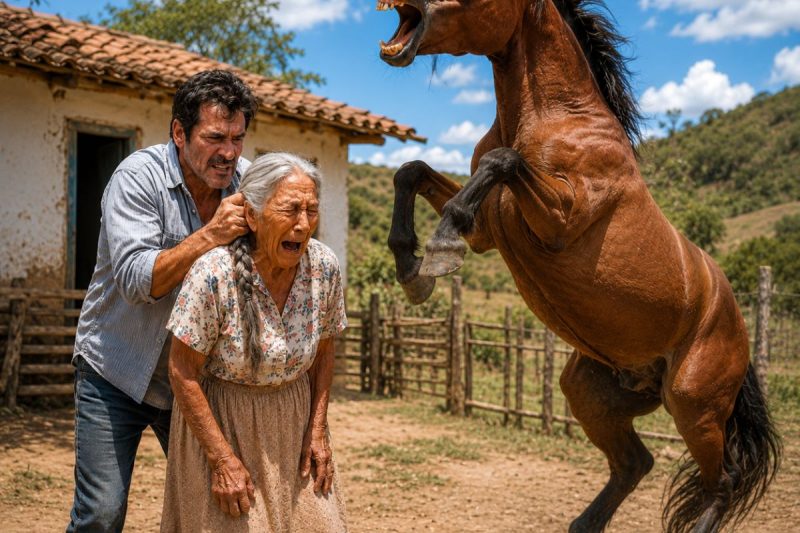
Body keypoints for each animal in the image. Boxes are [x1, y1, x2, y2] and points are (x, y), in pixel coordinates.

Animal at [377, 1, 781, 531]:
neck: (556, 118)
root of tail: (739, 332)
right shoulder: (488, 230)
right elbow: (412, 171)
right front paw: (411, 269)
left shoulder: (558, 221)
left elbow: (502, 162)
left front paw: (440, 248)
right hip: (590, 391)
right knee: (636, 463)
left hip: (694, 405)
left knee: (724, 482)